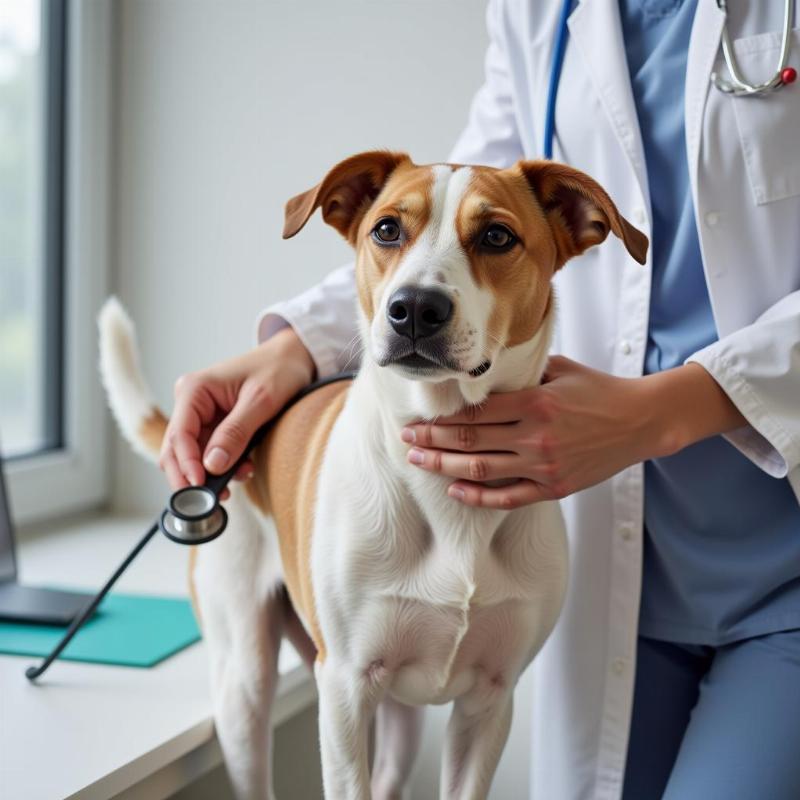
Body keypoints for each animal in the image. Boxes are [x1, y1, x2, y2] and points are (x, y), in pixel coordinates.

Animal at [100, 152, 648, 800]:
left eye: (497, 236)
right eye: (387, 229)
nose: (414, 308)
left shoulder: (491, 700)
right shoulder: (343, 688)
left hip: (401, 717)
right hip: (245, 681)